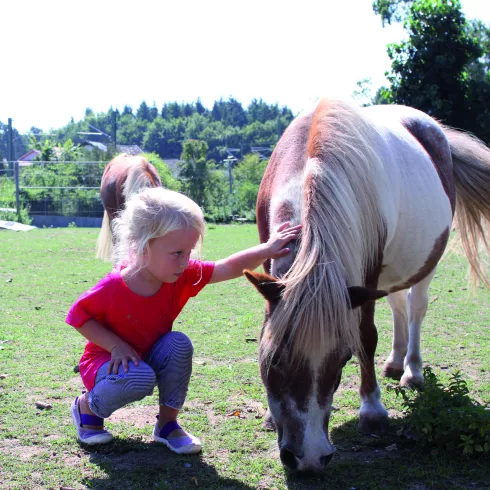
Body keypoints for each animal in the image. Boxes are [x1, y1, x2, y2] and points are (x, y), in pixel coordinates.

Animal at [244, 97, 490, 472]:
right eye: (273, 360)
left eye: (343, 360)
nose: (310, 459)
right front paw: (273, 416)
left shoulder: (367, 272)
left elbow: (366, 336)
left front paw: (372, 410)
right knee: (398, 304)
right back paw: (395, 361)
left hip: (427, 261)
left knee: (415, 308)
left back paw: (411, 370)